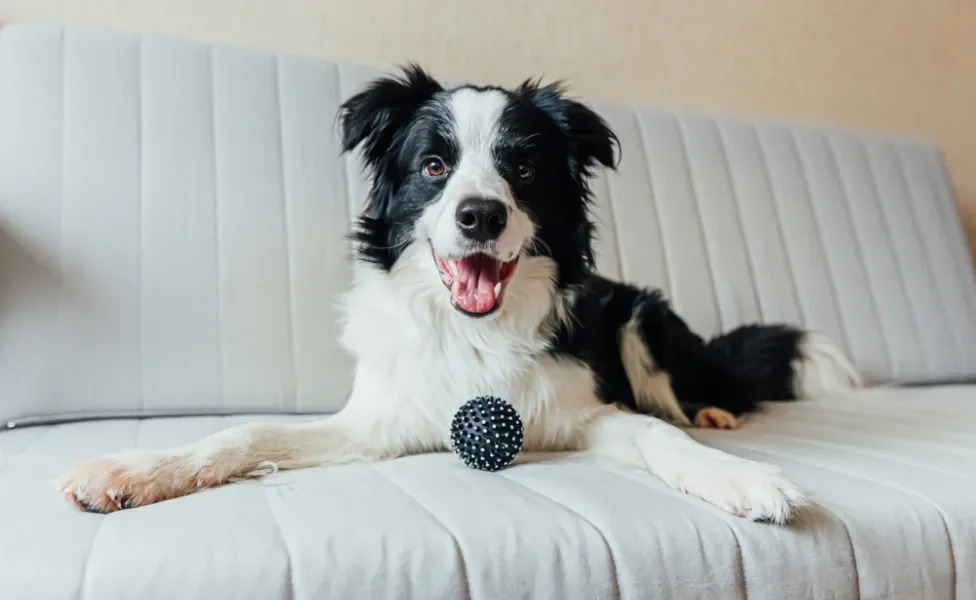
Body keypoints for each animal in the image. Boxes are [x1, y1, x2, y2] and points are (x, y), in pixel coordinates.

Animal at [57, 65, 856, 524]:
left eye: (524, 170)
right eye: (434, 166)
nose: (480, 216)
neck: (474, 328)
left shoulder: (586, 411)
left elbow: (658, 435)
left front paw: (741, 478)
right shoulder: (379, 420)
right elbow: (246, 434)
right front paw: (133, 471)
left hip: (640, 315)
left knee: (682, 397)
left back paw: (715, 412)